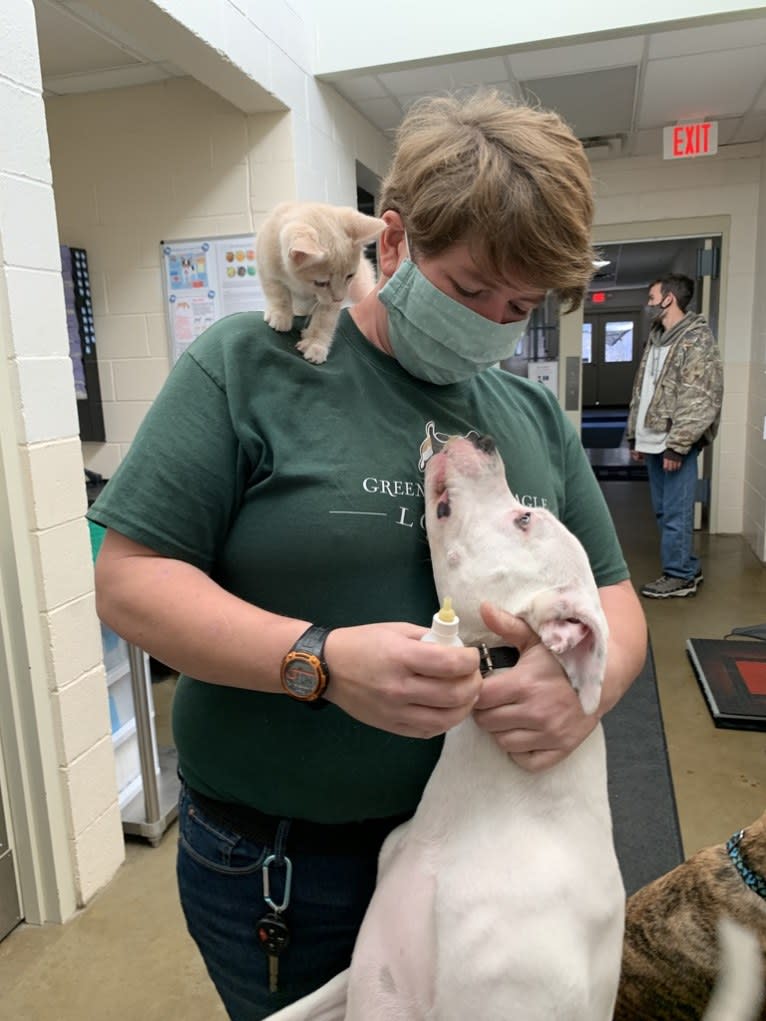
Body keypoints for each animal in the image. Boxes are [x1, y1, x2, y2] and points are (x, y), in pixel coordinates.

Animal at [256, 199, 386, 363]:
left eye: (350, 276)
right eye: (321, 283)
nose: (340, 298)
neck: (300, 283)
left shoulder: (330, 301)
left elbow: (324, 320)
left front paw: (315, 344)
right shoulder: (266, 263)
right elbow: (276, 290)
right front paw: (280, 314)